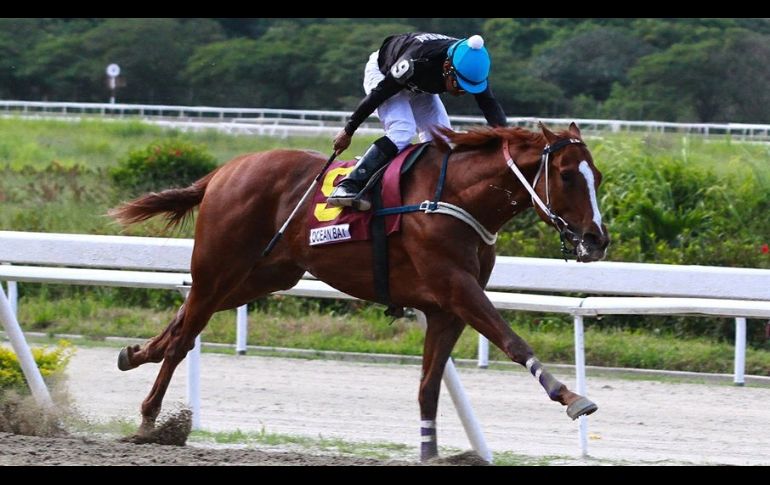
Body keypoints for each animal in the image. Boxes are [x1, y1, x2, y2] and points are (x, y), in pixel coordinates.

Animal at [109, 122, 608, 462]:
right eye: (567, 175)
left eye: (598, 177)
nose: (597, 239)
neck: (456, 198)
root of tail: (221, 172)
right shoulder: (457, 289)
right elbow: (512, 340)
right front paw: (570, 397)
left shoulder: (445, 310)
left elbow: (428, 387)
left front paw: (430, 452)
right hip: (219, 267)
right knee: (184, 336)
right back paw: (150, 419)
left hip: (262, 275)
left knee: (184, 323)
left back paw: (134, 354)